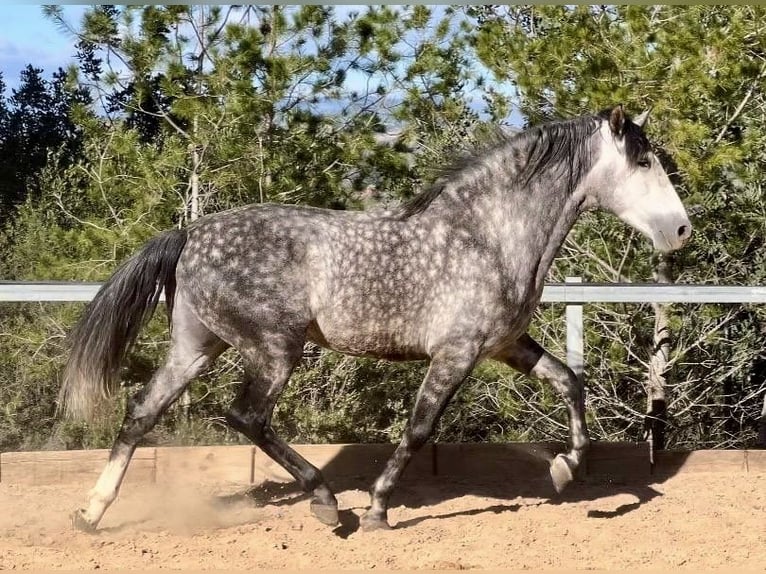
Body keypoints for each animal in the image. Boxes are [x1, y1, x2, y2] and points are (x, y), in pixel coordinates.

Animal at [63, 106, 692, 532]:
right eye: (643, 161)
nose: (681, 230)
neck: (489, 235)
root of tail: (190, 233)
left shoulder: (504, 344)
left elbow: (569, 382)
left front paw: (566, 468)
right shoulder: (458, 351)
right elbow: (418, 428)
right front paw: (379, 507)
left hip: (197, 346)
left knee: (141, 413)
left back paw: (92, 513)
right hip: (274, 349)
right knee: (246, 417)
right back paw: (326, 503)